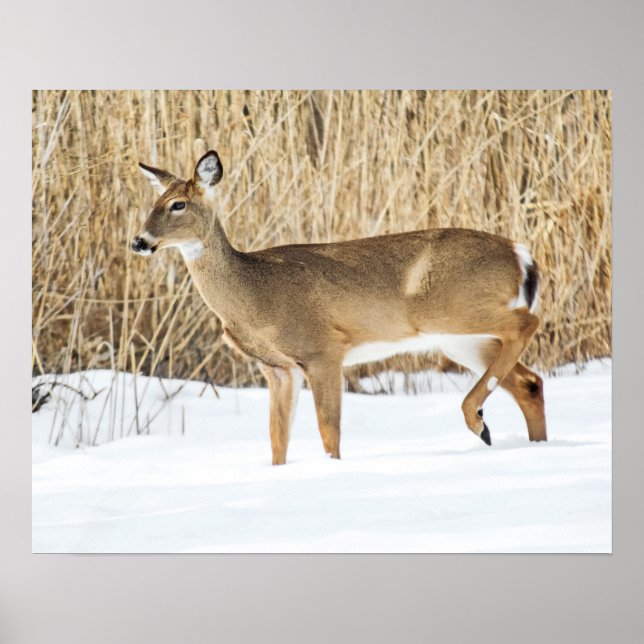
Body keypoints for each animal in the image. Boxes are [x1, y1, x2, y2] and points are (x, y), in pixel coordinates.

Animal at [132, 150, 547, 465]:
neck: (254, 294)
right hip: (458, 338)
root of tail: (520, 254)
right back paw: (526, 441)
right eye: (152, 203)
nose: (139, 241)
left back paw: (477, 420)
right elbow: (277, 441)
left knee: (528, 323)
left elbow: (328, 432)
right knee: (529, 381)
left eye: (178, 205)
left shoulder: (323, 350)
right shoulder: (278, 369)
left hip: (450, 310)